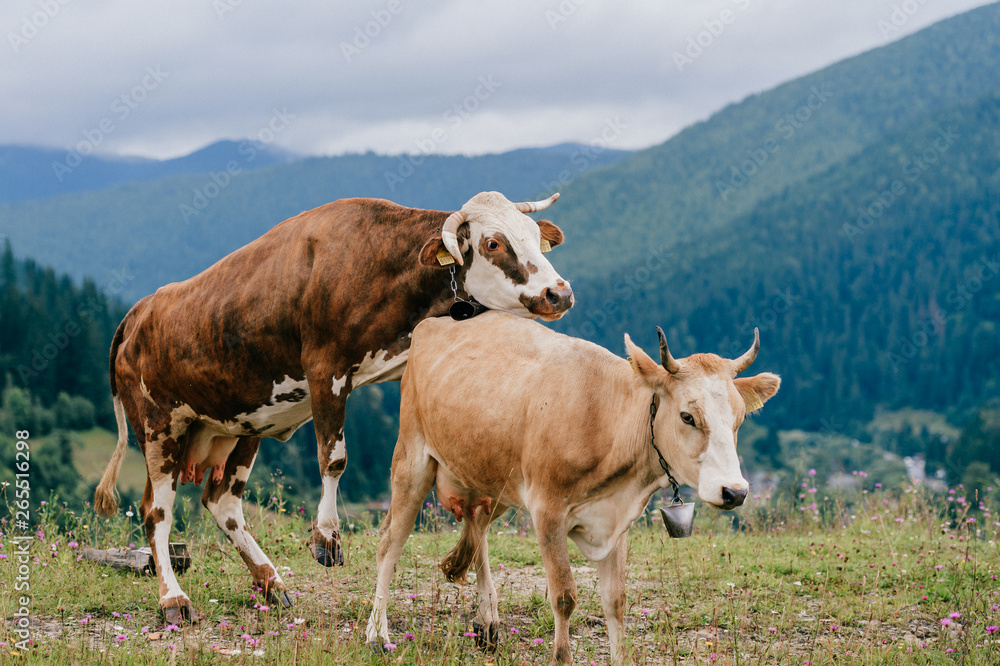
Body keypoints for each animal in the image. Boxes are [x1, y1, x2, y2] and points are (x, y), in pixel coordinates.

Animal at [93, 191, 573, 624]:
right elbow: (334, 456)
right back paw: (173, 599)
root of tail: (138, 312)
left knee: (221, 501)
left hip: (240, 424)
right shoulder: (325, 367)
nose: (559, 293)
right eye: (493, 243)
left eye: (535, 235)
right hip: (159, 423)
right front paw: (326, 537)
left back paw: (271, 583)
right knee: (157, 511)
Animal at [365, 311, 780, 664]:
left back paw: (488, 623)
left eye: (739, 419)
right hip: (412, 458)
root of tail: (437, 321)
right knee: (389, 540)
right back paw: (376, 634)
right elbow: (564, 597)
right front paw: (561, 656)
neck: (605, 421)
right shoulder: (547, 511)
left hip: (491, 476)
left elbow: (616, 601)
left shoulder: (617, 521)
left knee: (477, 525)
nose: (734, 491)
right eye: (687, 416)